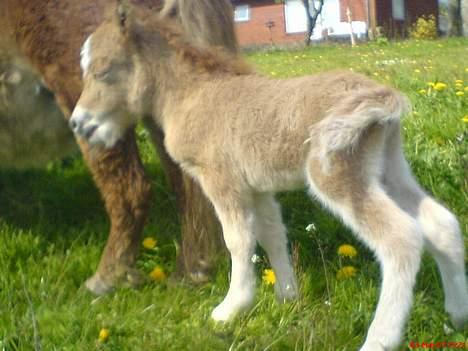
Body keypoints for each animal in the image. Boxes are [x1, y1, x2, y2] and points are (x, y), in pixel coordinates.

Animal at [70, 4, 468, 350]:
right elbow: (273, 234)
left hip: (338, 174)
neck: (192, 95)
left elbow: (238, 240)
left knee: (401, 238)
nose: (78, 124)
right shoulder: (258, 187)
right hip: (388, 169)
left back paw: (380, 339)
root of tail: (384, 97)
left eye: (103, 70)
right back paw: (457, 314)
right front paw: (287, 298)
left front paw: (231, 309)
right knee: (440, 222)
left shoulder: (222, 179)